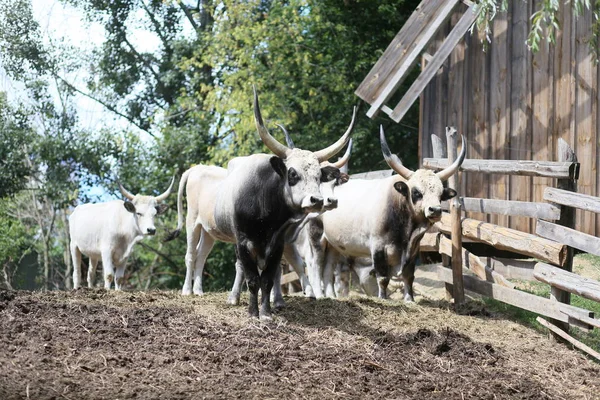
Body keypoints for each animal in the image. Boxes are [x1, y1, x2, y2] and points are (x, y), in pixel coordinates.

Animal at [316, 127, 466, 300]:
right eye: (416, 192)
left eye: (441, 194)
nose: (435, 210)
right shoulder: (378, 248)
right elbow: (382, 277)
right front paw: (383, 297)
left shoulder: (413, 250)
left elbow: (408, 275)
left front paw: (409, 299)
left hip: (333, 245)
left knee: (327, 269)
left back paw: (330, 296)